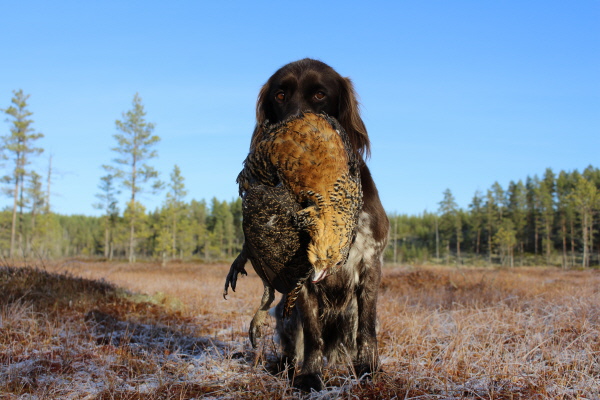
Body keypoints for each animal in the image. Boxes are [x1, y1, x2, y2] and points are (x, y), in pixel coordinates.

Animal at [250, 59, 386, 390]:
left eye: (320, 95)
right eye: (280, 95)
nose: (292, 134)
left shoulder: (371, 263)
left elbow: (367, 329)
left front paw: (369, 369)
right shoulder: (301, 277)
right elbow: (311, 333)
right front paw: (309, 375)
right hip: (283, 314)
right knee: (291, 348)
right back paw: (286, 367)